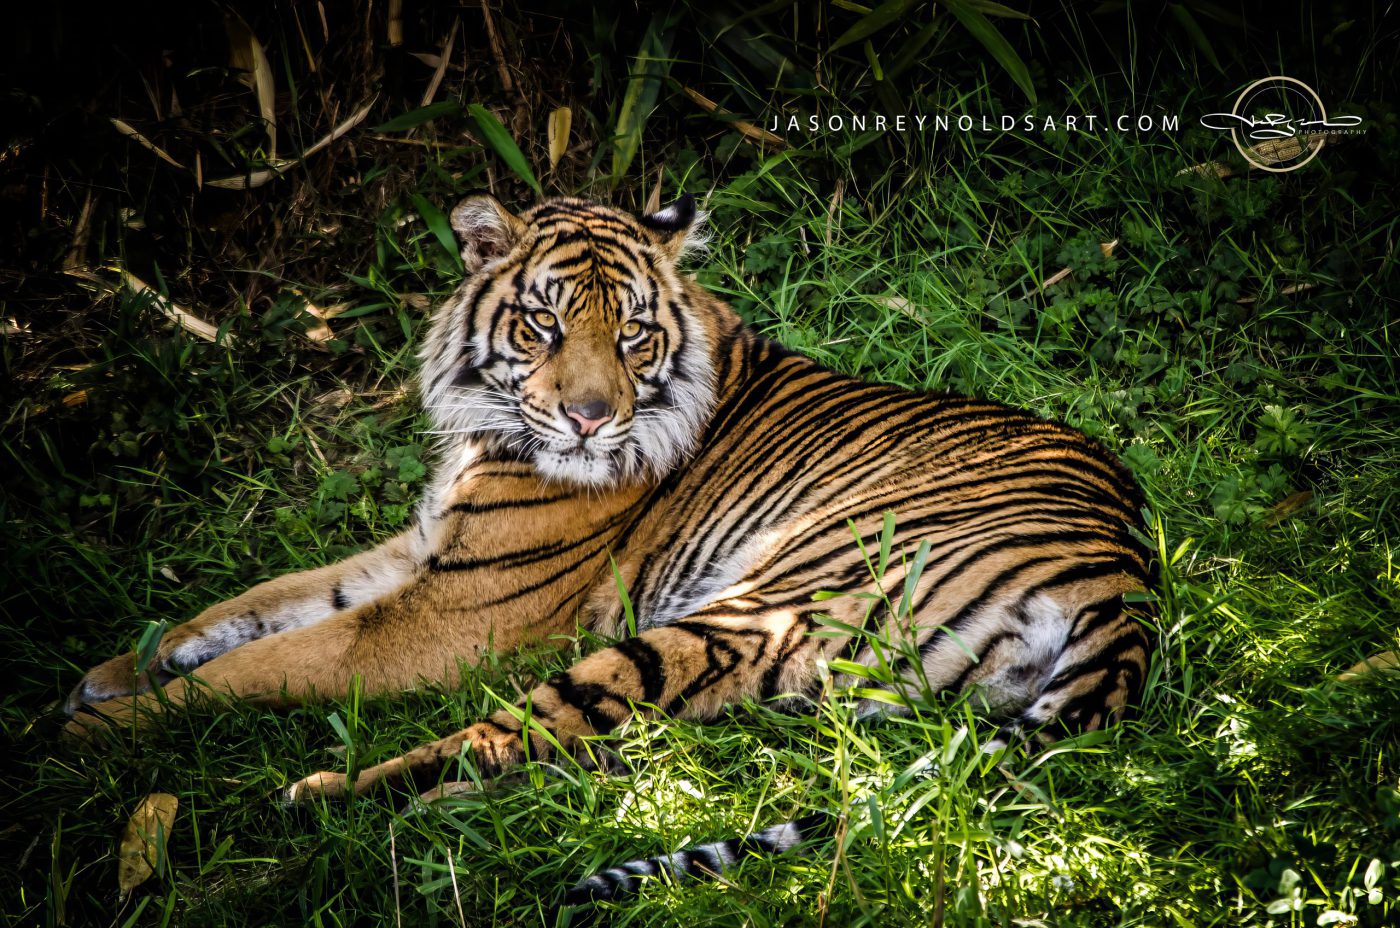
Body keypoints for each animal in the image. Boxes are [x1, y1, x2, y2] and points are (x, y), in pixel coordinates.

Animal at [65, 193, 1155, 904]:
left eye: (632, 334)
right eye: (542, 324)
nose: (590, 419)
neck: (486, 428)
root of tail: (1124, 580)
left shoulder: (451, 615)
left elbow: (260, 664)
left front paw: (92, 728)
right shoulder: (421, 553)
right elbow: (257, 603)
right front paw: (114, 669)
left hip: (753, 606)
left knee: (517, 735)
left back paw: (334, 804)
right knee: (593, 752)